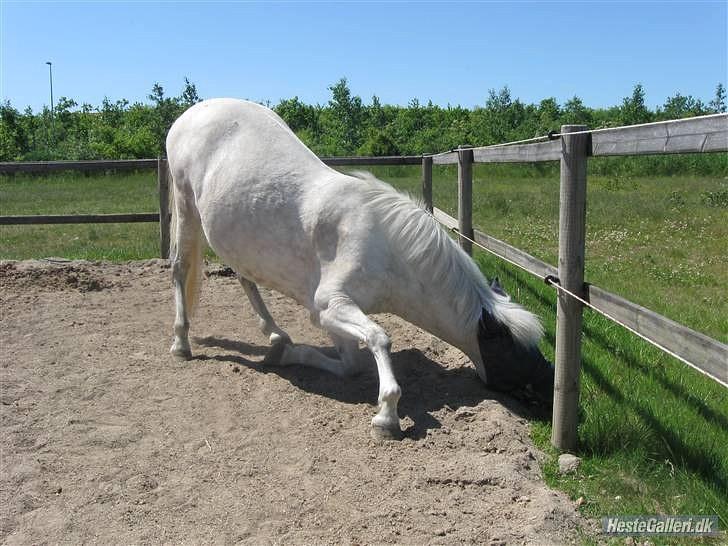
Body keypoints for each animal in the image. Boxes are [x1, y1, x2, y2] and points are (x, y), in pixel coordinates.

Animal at [166, 98, 554, 439]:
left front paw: (288, 355)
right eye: (512, 350)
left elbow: (351, 364)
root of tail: (191, 113)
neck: (388, 248)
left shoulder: (328, 316)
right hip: (186, 206)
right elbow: (380, 338)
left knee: (245, 277)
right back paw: (181, 343)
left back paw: (275, 335)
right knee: (180, 269)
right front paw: (387, 416)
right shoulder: (330, 306)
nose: (552, 391)